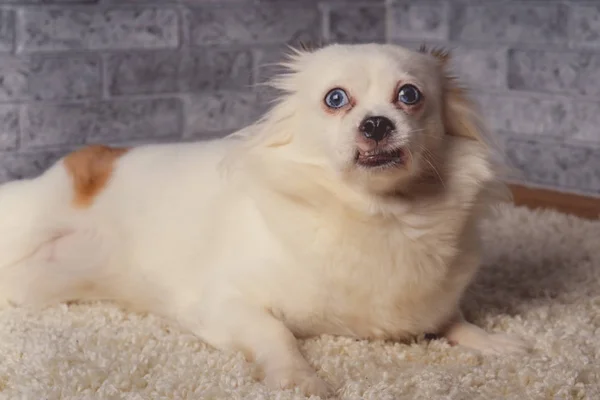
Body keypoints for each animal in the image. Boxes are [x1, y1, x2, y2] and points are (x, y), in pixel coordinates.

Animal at [0, 43, 524, 396]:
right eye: (336, 99)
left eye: (409, 95)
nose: (376, 123)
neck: (381, 213)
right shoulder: (222, 305)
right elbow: (278, 334)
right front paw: (300, 379)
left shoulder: (428, 305)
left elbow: (453, 320)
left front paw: (493, 342)